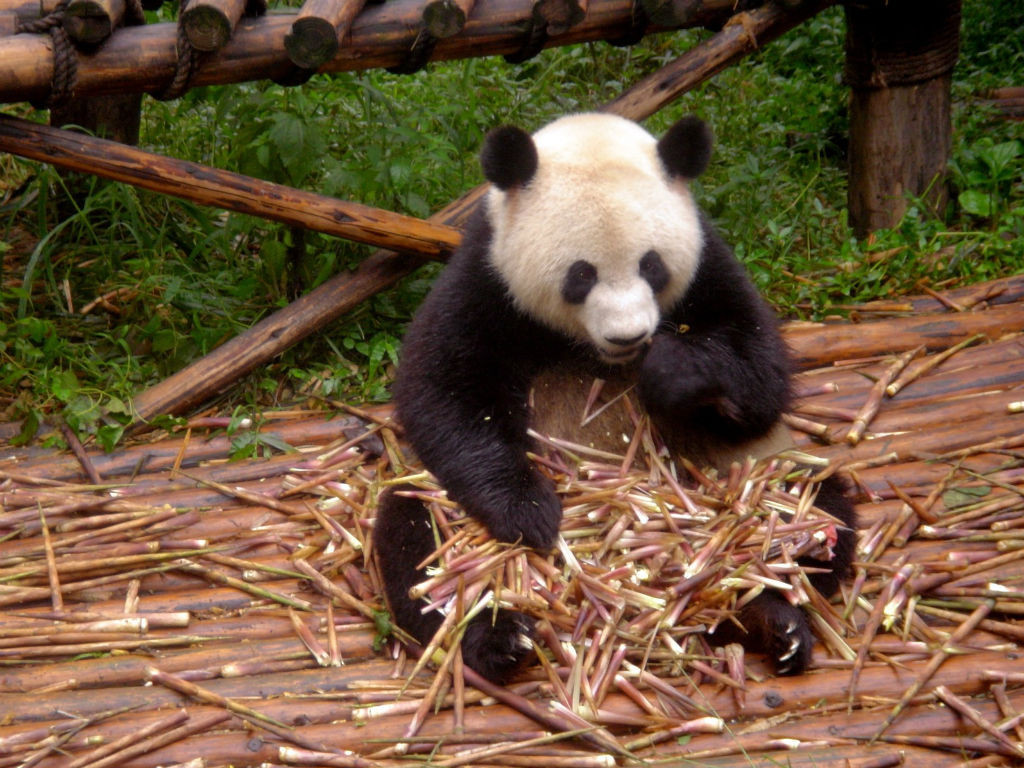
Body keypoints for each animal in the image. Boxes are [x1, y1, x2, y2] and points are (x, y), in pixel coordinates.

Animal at [372, 112, 851, 684]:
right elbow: (444, 390)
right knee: (417, 543)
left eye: (652, 265)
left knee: (816, 513)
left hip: (760, 473)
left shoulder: (710, 264)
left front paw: (672, 373)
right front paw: (530, 512)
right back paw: (499, 639)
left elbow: (762, 373)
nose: (629, 336)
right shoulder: (486, 278)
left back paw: (770, 618)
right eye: (581, 275)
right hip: (439, 510)